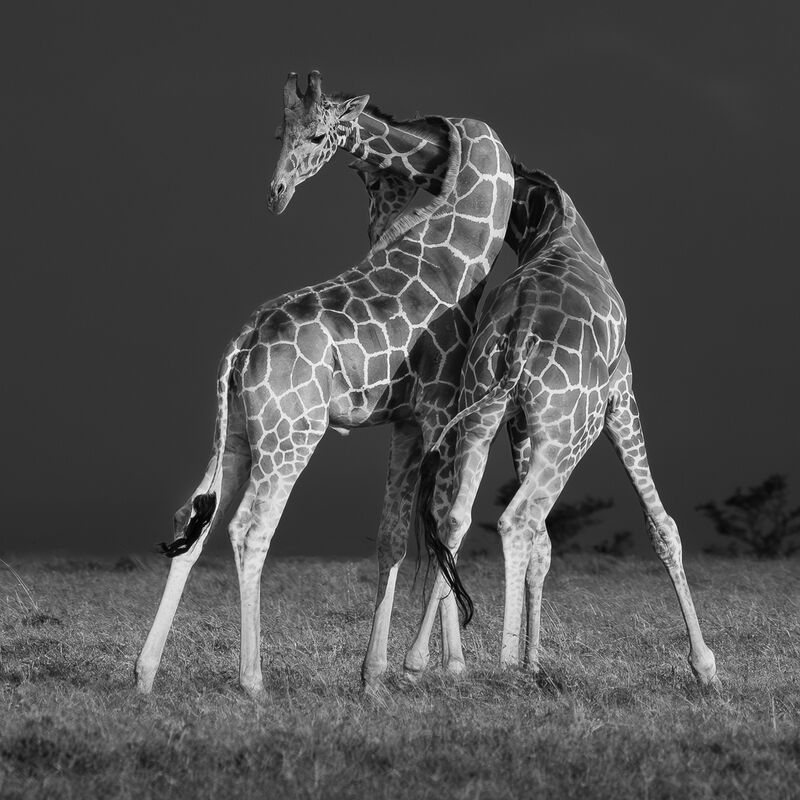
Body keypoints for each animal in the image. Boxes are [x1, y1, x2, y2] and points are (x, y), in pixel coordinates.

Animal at [134, 71, 514, 696]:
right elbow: (442, 527)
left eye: (313, 134)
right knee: (249, 529)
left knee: (193, 515)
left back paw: (144, 673)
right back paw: (253, 680)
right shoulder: (439, 411)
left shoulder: (406, 422)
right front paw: (439, 665)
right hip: (292, 436)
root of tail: (240, 346)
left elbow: (393, 537)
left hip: (238, 435)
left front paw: (375, 673)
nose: (276, 192)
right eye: (282, 133)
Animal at [403, 162, 720, 688]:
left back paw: (420, 660)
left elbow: (544, 547)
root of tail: (516, 342)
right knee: (517, 520)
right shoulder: (622, 394)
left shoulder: (517, 423)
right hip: (571, 430)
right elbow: (663, 528)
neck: (554, 225)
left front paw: (535, 660)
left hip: (482, 414)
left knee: (455, 520)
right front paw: (705, 666)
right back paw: (504, 666)